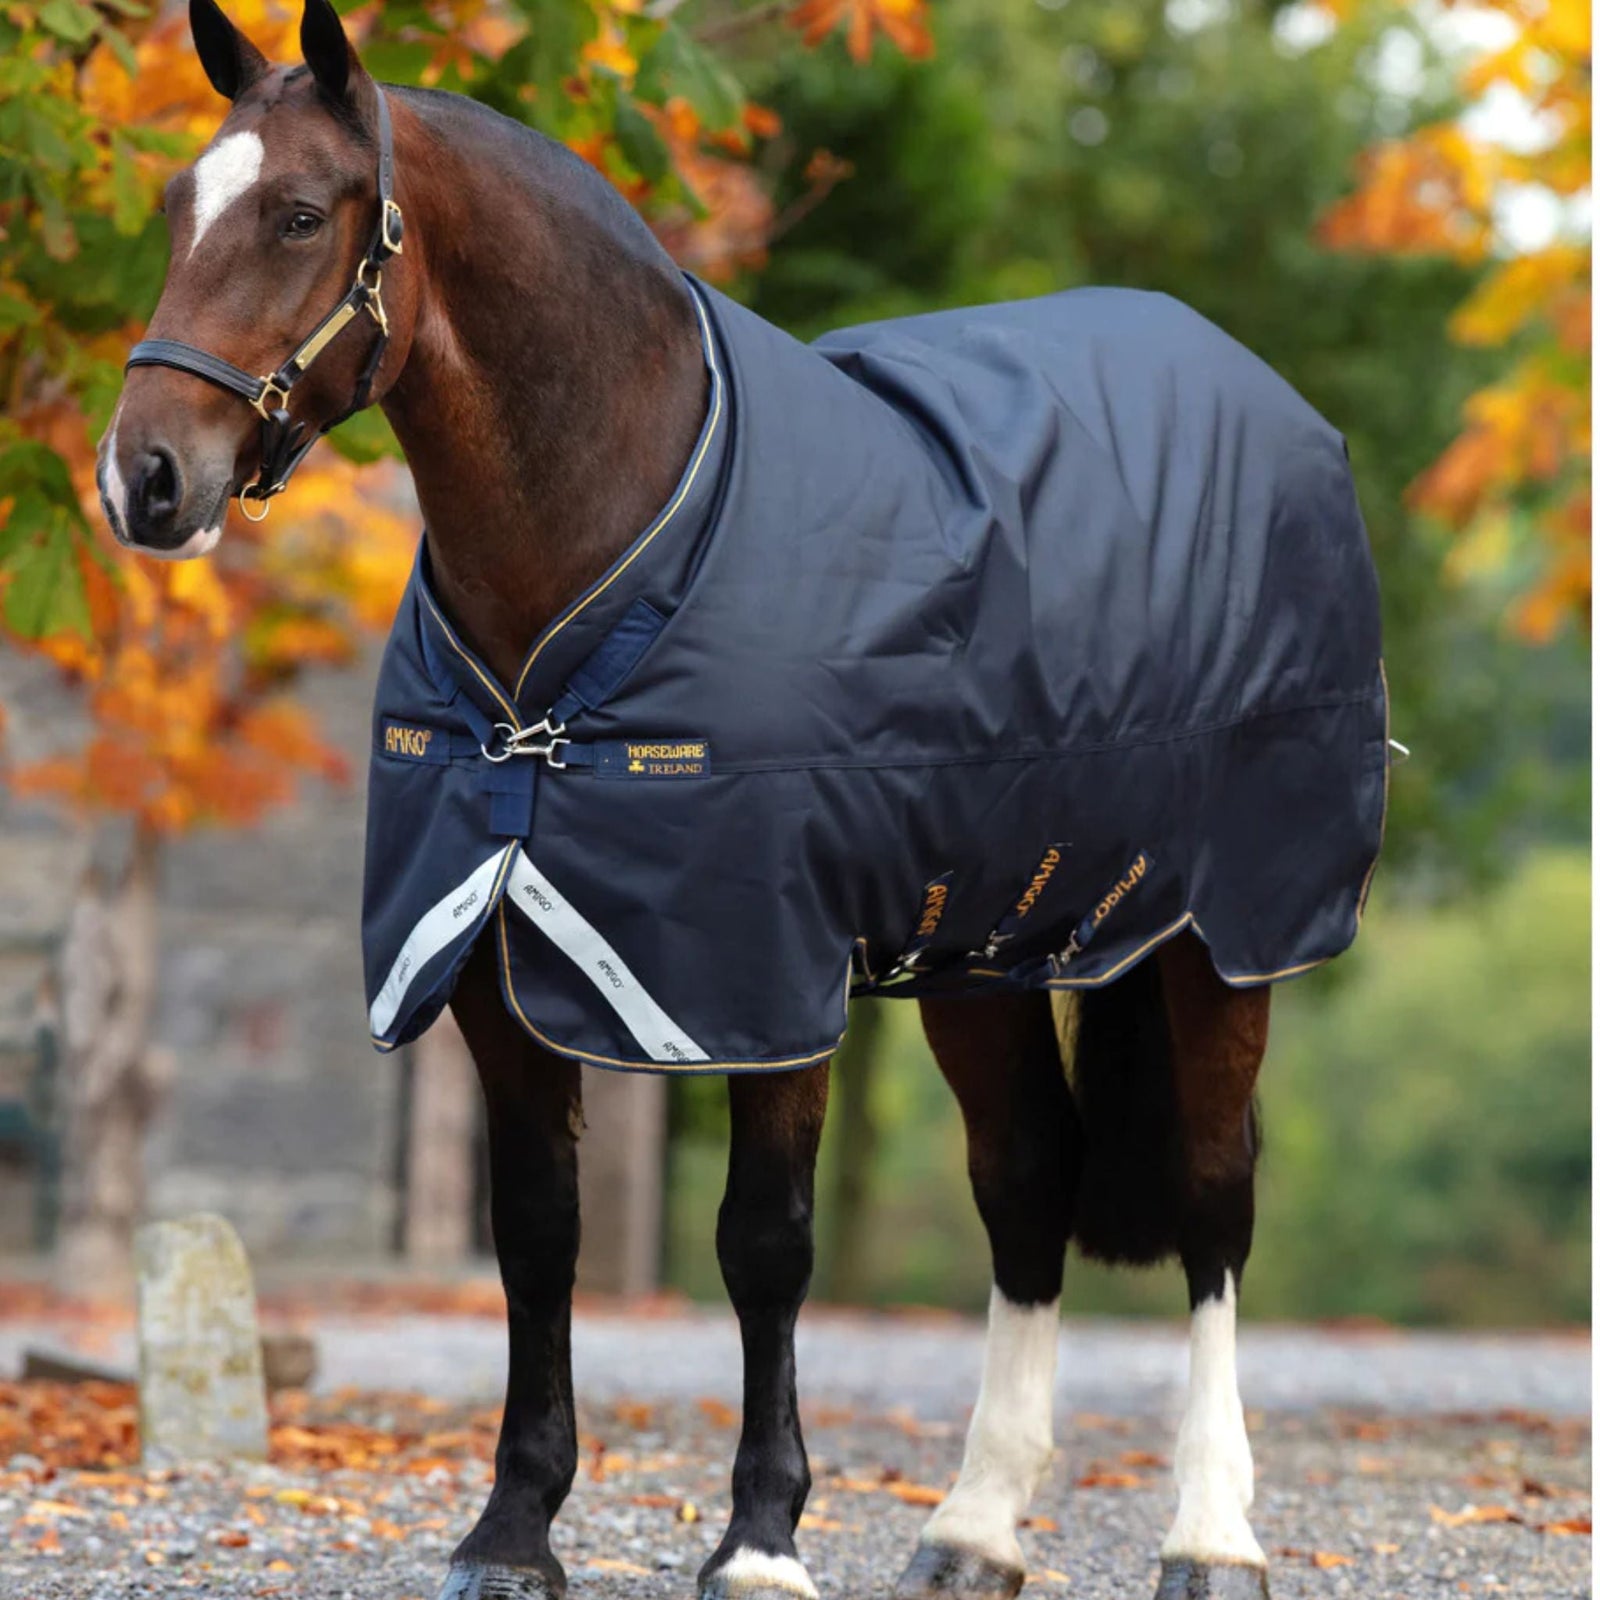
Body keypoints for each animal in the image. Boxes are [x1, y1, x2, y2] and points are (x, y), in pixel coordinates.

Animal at [98, 5, 1391, 1599]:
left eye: (295, 213)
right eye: (173, 206)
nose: (146, 479)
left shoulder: (764, 973)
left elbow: (763, 1239)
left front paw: (762, 1538)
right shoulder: (491, 968)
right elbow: (536, 1236)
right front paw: (512, 1529)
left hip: (1226, 937)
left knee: (1213, 1198)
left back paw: (1211, 1534)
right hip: (984, 950)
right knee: (1028, 1183)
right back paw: (972, 1528)